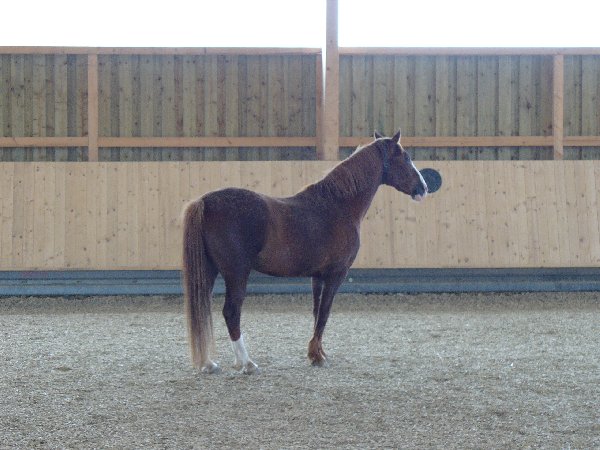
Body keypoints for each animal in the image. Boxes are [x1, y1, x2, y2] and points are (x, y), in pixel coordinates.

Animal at [180, 129, 428, 372]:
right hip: (236, 273)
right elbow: (325, 313)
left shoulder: (317, 276)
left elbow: (316, 312)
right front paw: (317, 357)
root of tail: (204, 202)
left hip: (209, 271)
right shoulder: (336, 274)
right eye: (405, 157)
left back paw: (208, 363)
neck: (338, 205)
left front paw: (317, 352)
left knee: (202, 307)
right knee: (231, 312)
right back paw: (246, 363)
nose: (423, 188)